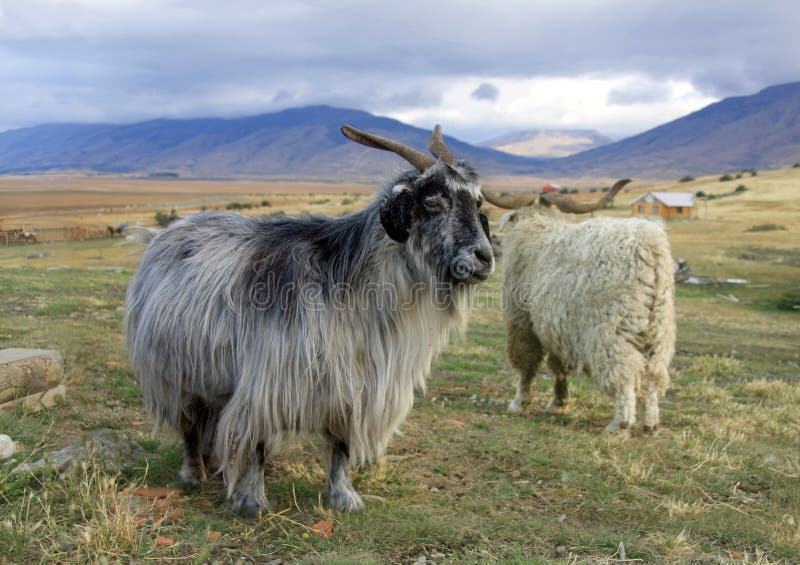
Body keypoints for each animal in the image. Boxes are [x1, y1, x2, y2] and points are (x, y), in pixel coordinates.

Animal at [125, 124, 494, 516]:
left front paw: (344, 497)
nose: (484, 257)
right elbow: (257, 443)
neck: (352, 287)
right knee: (190, 428)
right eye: (433, 201)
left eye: (477, 203)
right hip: (174, 376)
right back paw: (192, 473)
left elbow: (341, 446)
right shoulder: (269, 382)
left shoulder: (353, 387)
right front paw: (252, 501)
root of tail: (160, 234)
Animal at [482, 181, 676, 432]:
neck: (538, 229)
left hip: (611, 331)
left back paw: (619, 424)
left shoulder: (523, 320)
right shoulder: (557, 327)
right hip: (658, 330)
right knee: (652, 376)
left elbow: (528, 362)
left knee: (624, 375)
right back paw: (649, 424)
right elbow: (558, 366)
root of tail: (649, 247)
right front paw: (559, 403)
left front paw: (519, 402)